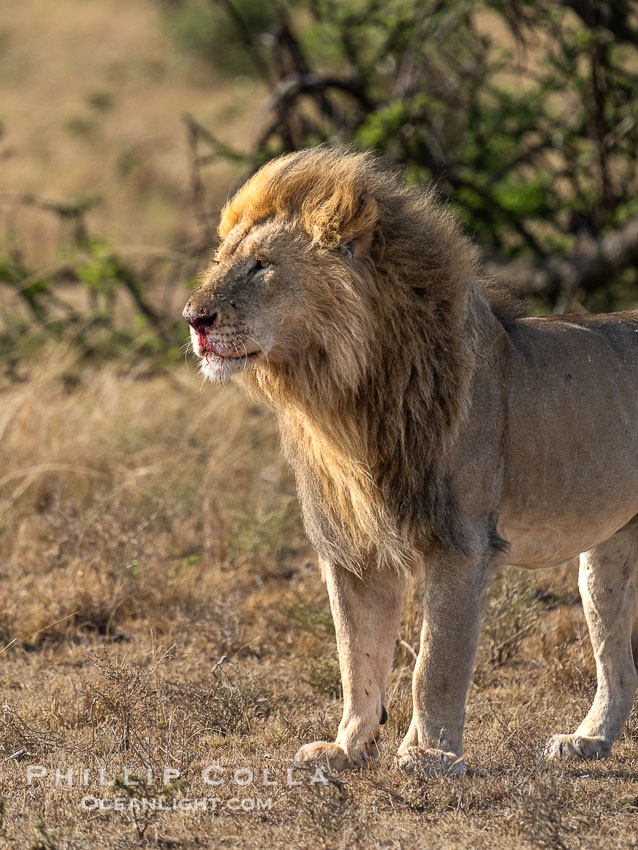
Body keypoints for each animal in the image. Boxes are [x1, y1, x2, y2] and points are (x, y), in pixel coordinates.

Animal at [182, 147, 638, 776]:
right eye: (222, 260)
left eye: (261, 266)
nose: (193, 318)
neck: (341, 399)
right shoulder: (351, 549)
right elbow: (357, 655)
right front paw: (348, 747)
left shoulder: (459, 543)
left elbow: (434, 663)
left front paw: (428, 755)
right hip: (607, 555)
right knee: (619, 663)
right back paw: (587, 740)